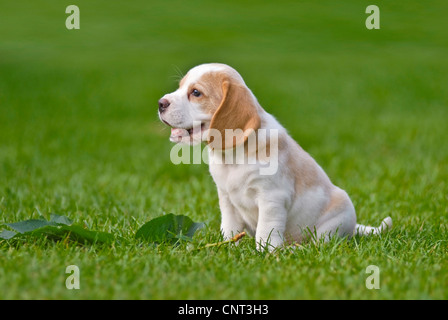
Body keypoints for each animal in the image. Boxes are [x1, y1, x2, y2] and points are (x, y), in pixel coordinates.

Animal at [158, 63, 392, 251]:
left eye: (196, 92)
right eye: (180, 86)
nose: (160, 103)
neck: (232, 158)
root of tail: (353, 228)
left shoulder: (271, 198)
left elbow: (266, 231)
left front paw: (267, 254)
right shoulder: (226, 199)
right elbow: (230, 227)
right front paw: (230, 246)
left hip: (334, 220)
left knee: (319, 244)